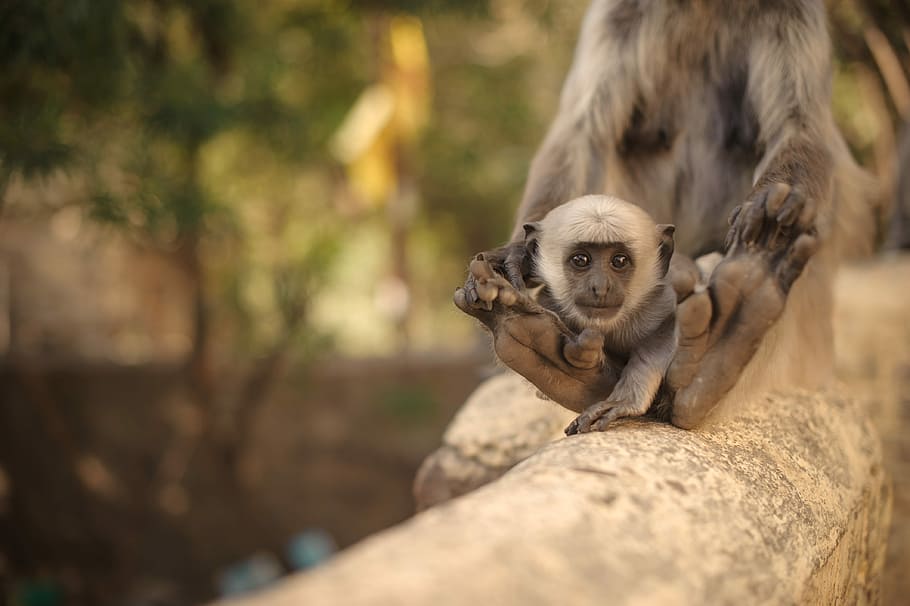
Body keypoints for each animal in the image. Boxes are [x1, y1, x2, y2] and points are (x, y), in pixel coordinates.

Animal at [457, 0, 883, 430]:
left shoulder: (793, 11)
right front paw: (516, 253)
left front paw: (771, 210)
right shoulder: (620, 14)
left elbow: (798, 125)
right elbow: (583, 130)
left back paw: (735, 321)